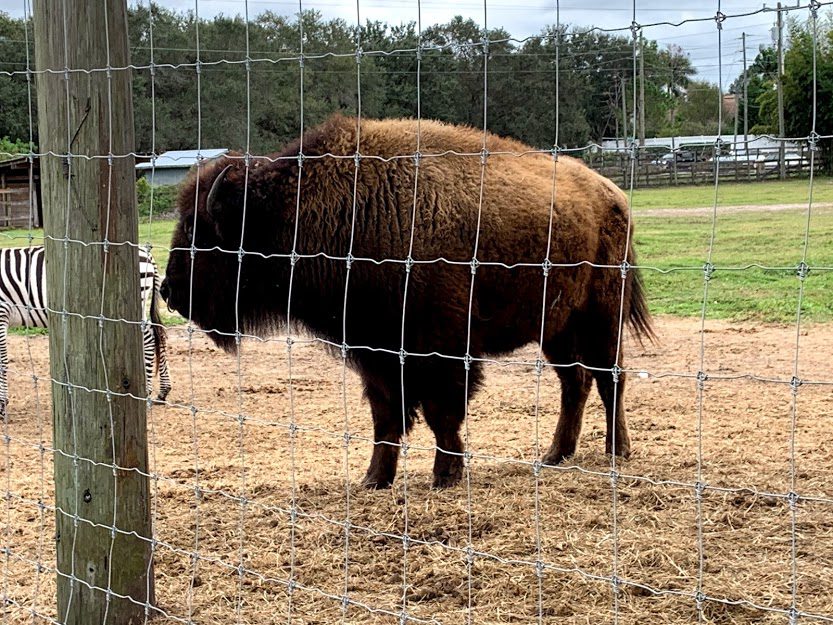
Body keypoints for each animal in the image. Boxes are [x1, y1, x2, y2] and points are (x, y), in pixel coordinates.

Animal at [160, 115, 653, 489]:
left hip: (601, 318)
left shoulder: (440, 352)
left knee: (610, 379)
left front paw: (445, 476)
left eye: (200, 228)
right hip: (556, 328)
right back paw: (555, 454)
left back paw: (617, 451)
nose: (168, 290)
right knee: (575, 382)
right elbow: (386, 418)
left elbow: (440, 413)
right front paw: (374, 479)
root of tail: (613, 195)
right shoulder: (375, 353)